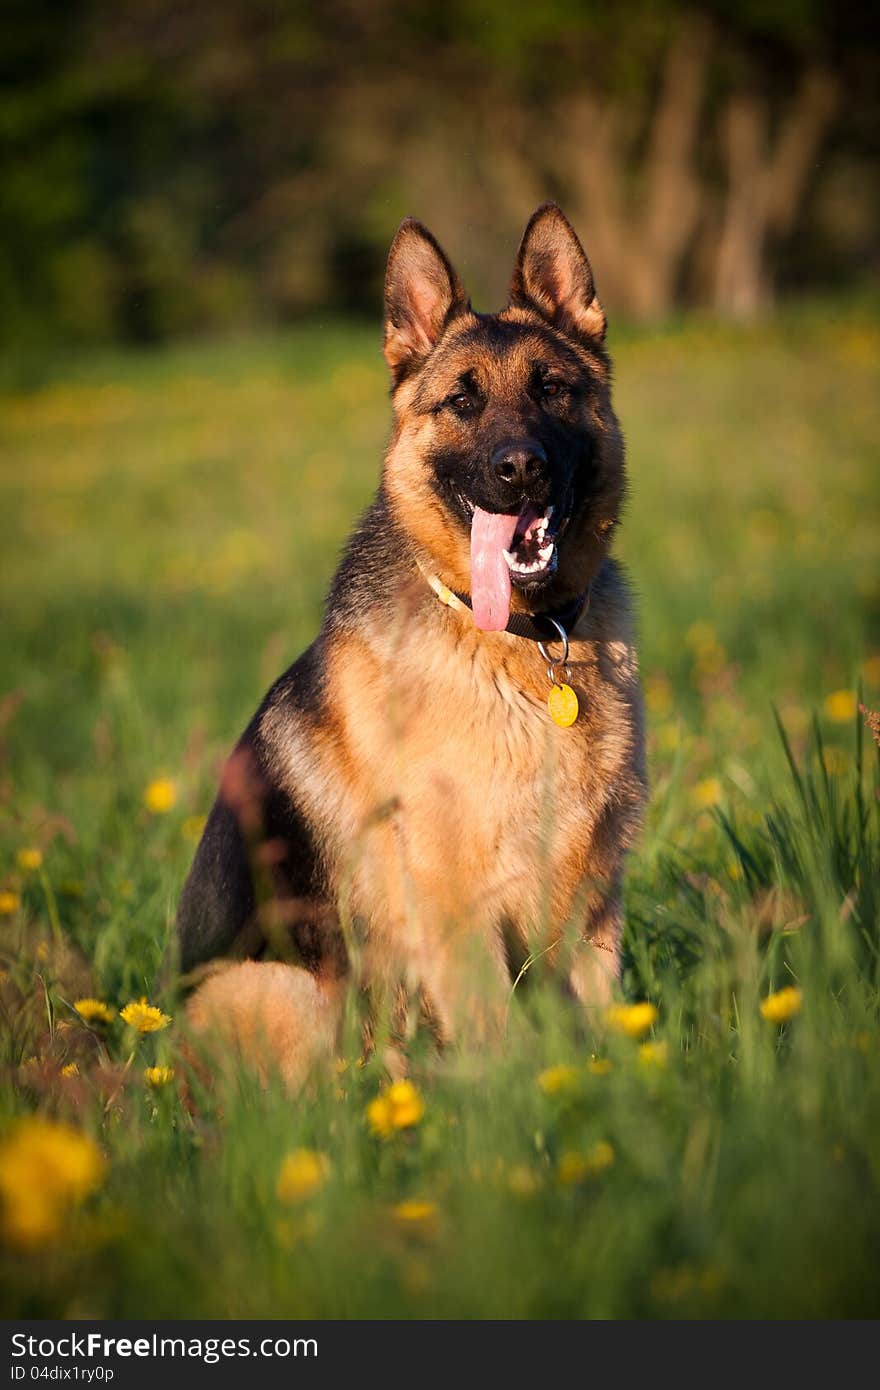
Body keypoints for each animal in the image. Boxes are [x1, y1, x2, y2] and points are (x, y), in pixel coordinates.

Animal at [177, 205, 645, 1089]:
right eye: (461, 400)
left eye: (553, 389)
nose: (521, 468)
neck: (521, 643)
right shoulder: (458, 911)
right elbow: (503, 1040)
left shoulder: (595, 904)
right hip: (291, 987)